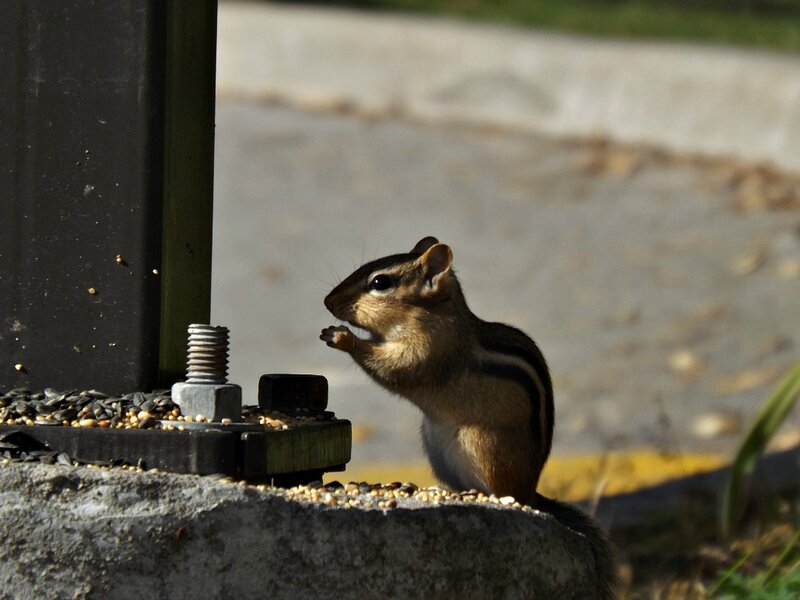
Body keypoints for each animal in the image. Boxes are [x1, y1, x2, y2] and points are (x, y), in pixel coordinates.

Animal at [321, 236, 615, 598]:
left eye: (379, 282)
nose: (328, 302)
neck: (434, 313)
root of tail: (532, 490)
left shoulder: (427, 352)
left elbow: (393, 369)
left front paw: (342, 338)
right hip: (437, 443)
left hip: (482, 443)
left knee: (505, 493)